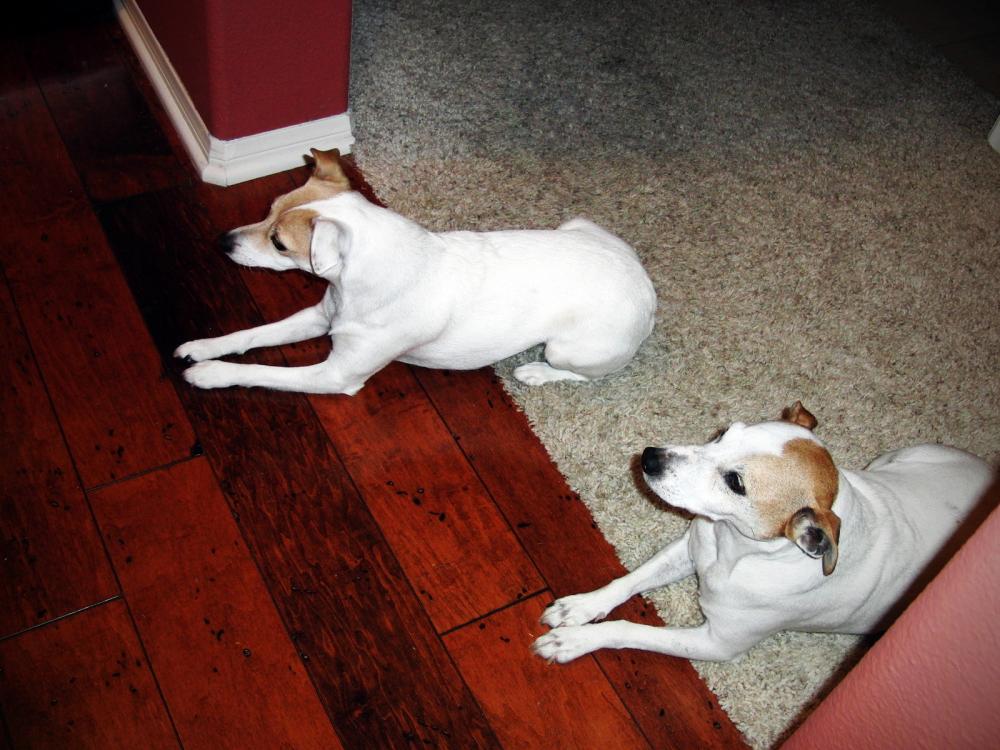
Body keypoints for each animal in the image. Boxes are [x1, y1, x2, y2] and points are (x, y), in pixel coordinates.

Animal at [174, 149, 656, 395]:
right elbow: (252, 335)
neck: (354, 289)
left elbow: (263, 372)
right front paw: (202, 348)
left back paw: (536, 373)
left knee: (583, 372)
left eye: (278, 242)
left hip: (569, 349)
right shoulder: (319, 316)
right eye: (268, 209)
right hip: (575, 225)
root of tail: (647, 288)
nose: (223, 242)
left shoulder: (336, 376)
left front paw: (211, 373)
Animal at [533, 402, 993, 663]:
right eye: (722, 433)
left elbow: (632, 631)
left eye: (736, 482)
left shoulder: (717, 644)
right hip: (904, 457)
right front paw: (579, 608)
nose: (649, 457)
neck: (733, 549)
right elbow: (626, 582)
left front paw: (572, 641)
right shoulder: (690, 547)